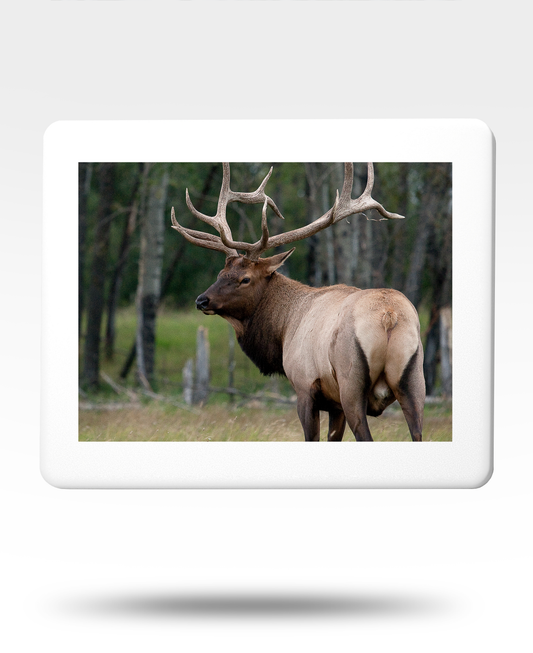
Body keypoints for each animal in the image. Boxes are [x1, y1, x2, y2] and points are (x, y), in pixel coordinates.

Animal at [171, 163, 425, 442]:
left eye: (245, 278)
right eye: (220, 273)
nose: (201, 300)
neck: (283, 329)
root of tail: (389, 316)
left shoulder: (305, 387)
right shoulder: (334, 404)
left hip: (351, 383)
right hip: (414, 382)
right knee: (417, 431)